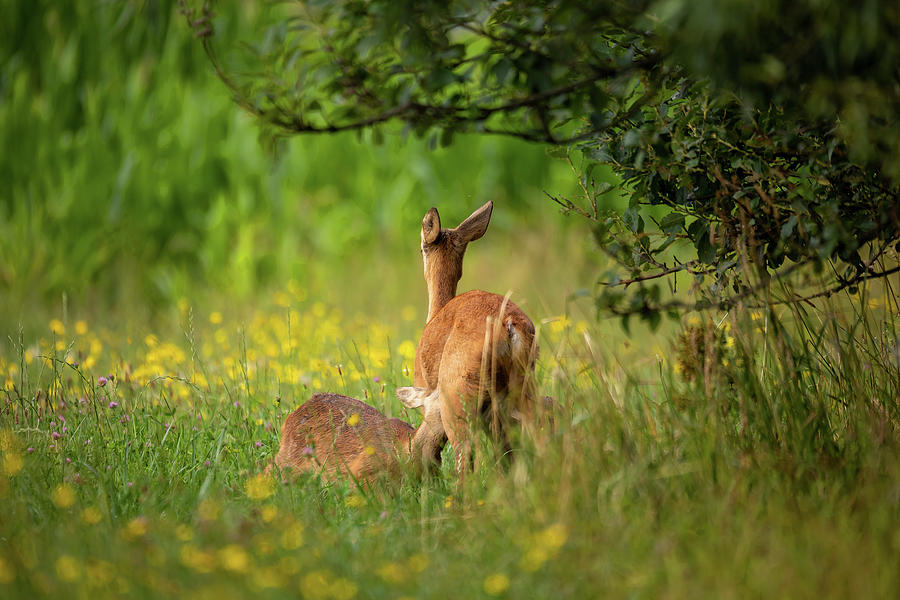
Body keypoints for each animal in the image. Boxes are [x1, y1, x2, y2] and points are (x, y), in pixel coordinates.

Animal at [398, 204, 536, 480]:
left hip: (457, 393)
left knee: (467, 455)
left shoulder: (427, 394)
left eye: (420, 248)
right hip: (521, 387)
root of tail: (508, 325)